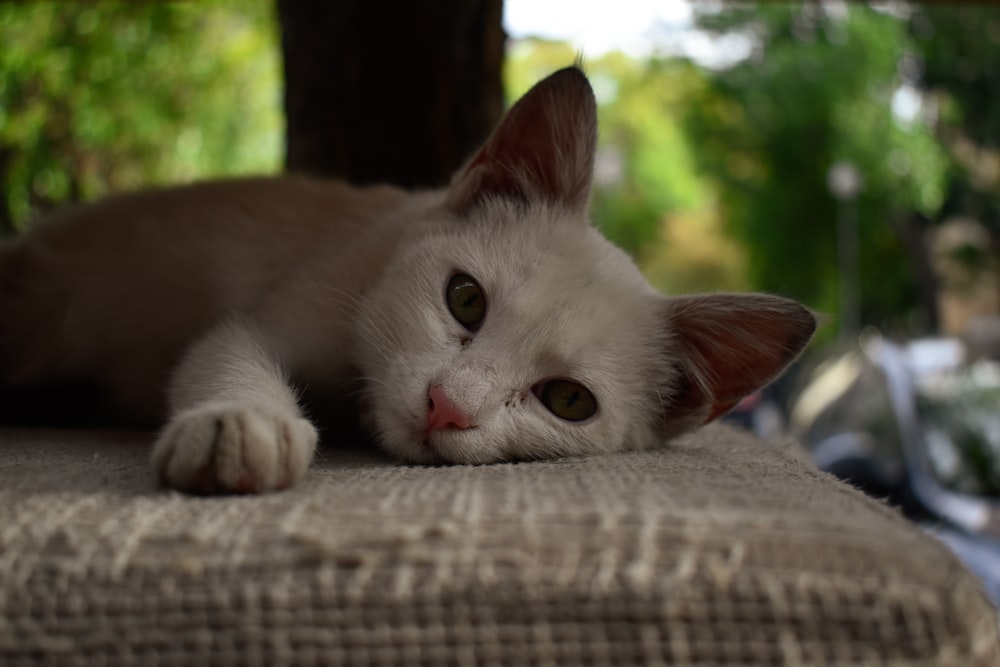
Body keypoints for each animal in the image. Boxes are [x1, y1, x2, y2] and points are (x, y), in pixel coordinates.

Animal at [0, 66, 812, 496]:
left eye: (568, 401)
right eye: (465, 299)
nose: (447, 406)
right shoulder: (282, 305)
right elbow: (228, 351)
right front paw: (239, 424)